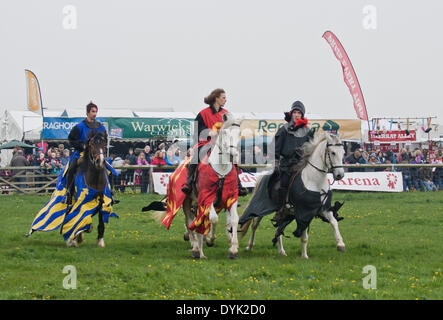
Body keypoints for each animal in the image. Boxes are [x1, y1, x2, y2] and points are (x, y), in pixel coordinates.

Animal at [183, 111, 243, 258]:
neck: (221, 169)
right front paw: (210, 239)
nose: (233, 154)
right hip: (187, 201)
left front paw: (233, 249)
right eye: (225, 132)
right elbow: (214, 218)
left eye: (239, 133)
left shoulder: (231, 197)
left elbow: (234, 219)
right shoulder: (206, 196)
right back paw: (195, 246)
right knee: (189, 221)